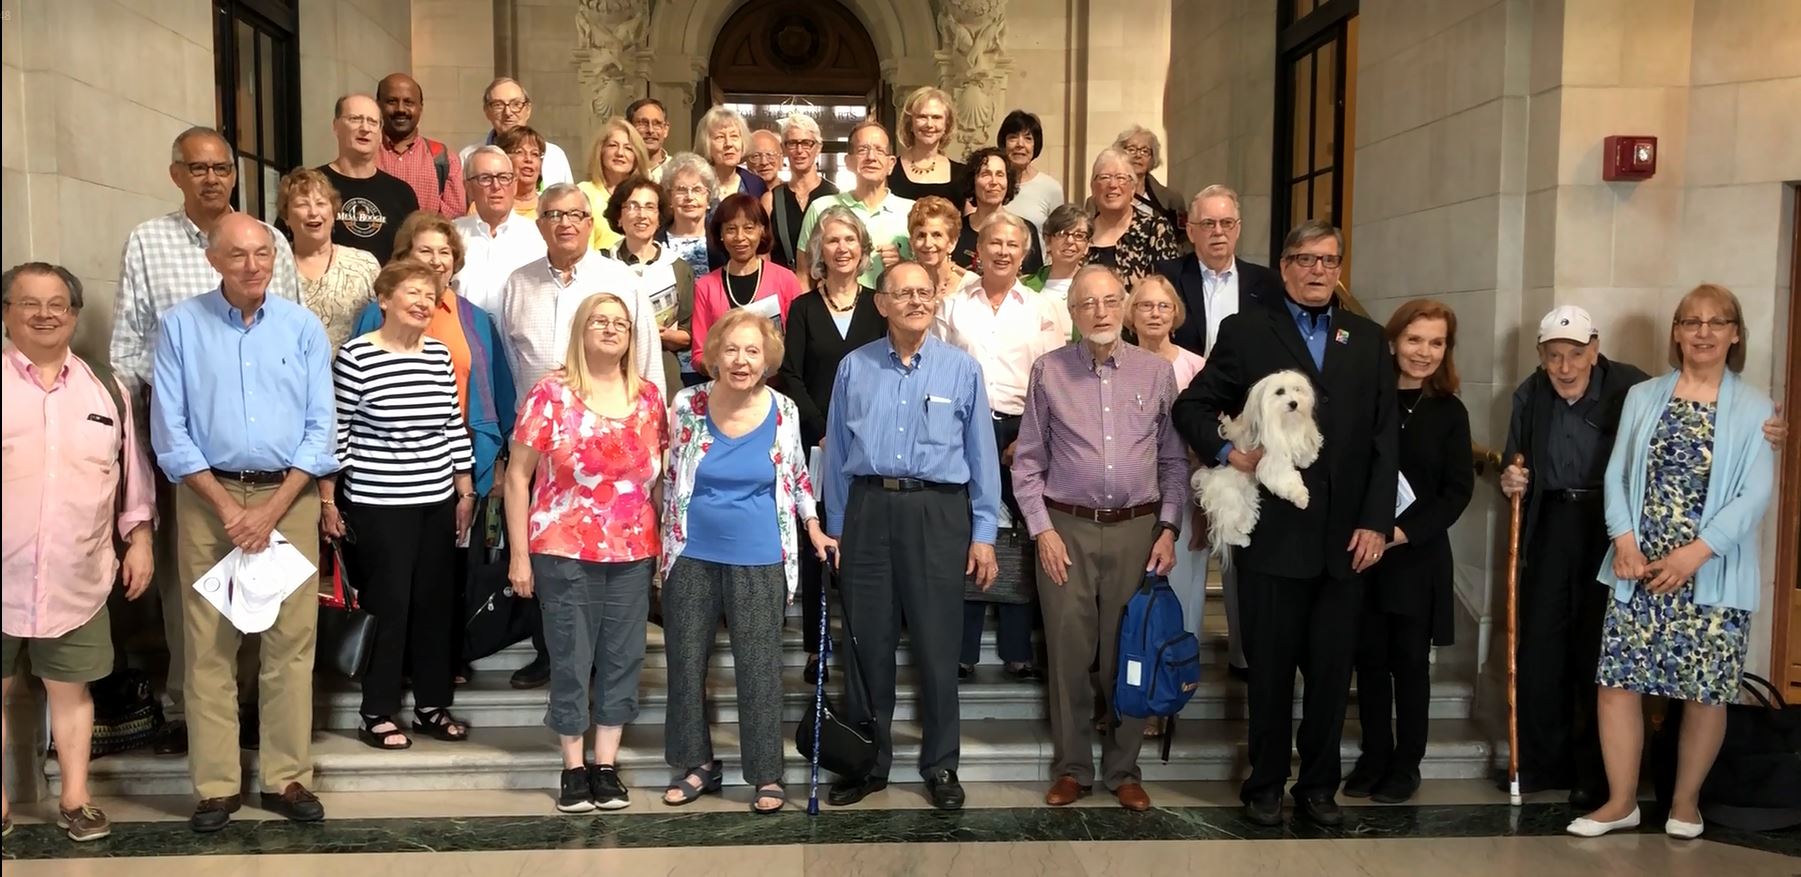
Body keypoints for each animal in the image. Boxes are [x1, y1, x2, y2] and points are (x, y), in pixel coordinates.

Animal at [1195, 370, 1325, 547]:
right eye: (1280, 392)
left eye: (1297, 389)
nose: (1294, 403)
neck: (1284, 423)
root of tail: (1207, 478)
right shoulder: (1272, 460)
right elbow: (1286, 478)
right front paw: (1301, 497)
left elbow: (1302, 448)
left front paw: (1306, 459)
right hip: (1230, 494)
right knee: (1227, 526)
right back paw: (1242, 539)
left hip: (1246, 491)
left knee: (1245, 513)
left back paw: (1245, 527)